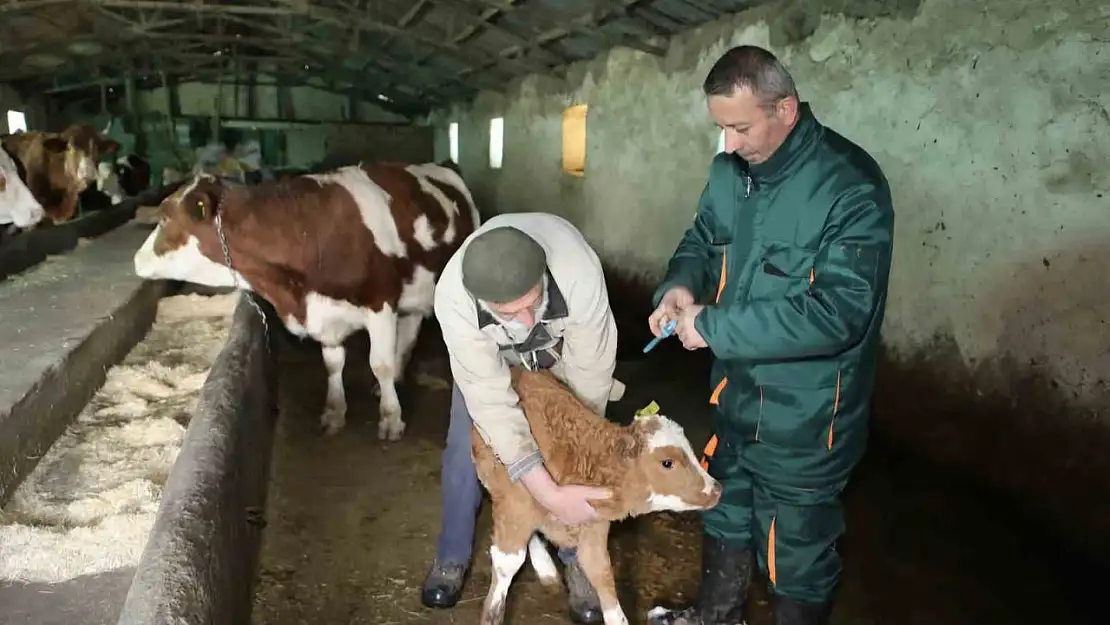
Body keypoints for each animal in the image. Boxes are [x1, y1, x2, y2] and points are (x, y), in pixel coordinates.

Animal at [132, 159, 479, 439]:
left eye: (164, 218)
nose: (136, 260)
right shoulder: (324, 315)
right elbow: (333, 363)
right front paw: (335, 412)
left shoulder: (380, 304)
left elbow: (379, 363)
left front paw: (391, 418)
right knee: (409, 330)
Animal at [472, 368, 723, 625]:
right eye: (667, 463)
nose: (716, 489)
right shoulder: (515, 506)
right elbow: (507, 565)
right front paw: (491, 615)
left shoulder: (593, 526)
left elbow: (601, 573)